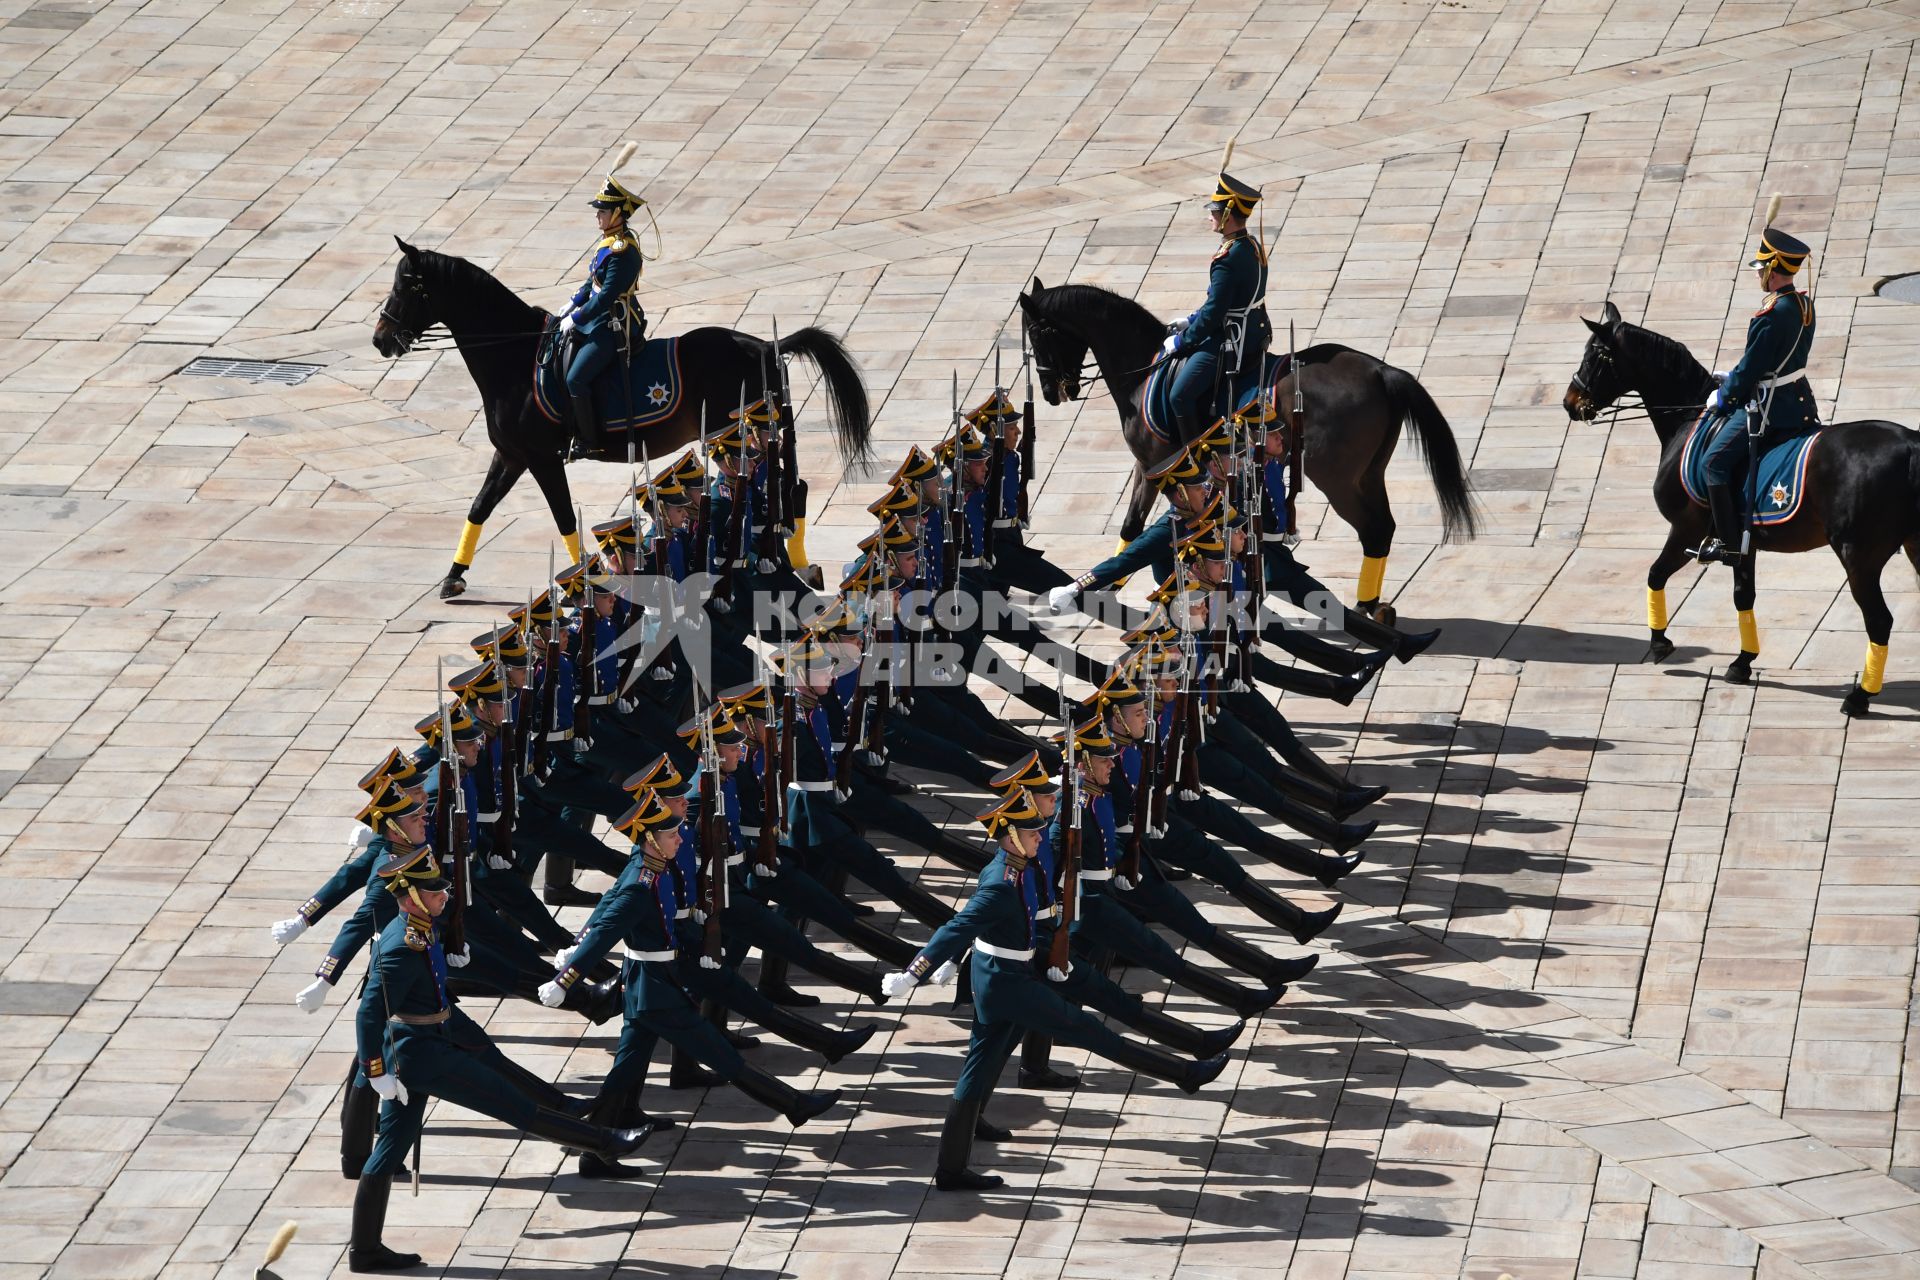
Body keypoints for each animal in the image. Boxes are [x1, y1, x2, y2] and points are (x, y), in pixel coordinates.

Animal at [374, 239, 871, 602]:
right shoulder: (512, 455)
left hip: (738, 432)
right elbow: (480, 506)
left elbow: (563, 518)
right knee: (783, 485)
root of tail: (764, 345)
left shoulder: (541, 458)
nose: (381, 340)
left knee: (778, 484)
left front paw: (583, 580)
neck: (513, 356)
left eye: (407, 286)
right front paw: (453, 576)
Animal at [1021, 282, 1482, 621]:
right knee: (1383, 527)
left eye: (1038, 334)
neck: (1145, 371)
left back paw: (1364, 608)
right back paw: (1371, 606)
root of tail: (1382, 370)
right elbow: (1133, 525)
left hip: (1336, 480)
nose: (1050, 392)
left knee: (1373, 529)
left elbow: (1144, 526)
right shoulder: (1149, 466)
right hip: (1368, 474)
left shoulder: (1157, 463)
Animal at [1566, 303, 1912, 721]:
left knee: (1879, 620)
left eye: (1594, 356)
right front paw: (1742, 661)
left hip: (1858, 557)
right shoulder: (1742, 542)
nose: (1570, 402)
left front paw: (1659, 642)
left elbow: (1655, 574)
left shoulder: (1687, 529)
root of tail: (1910, 443)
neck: (1688, 420)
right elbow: (1743, 596)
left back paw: (1860, 696)